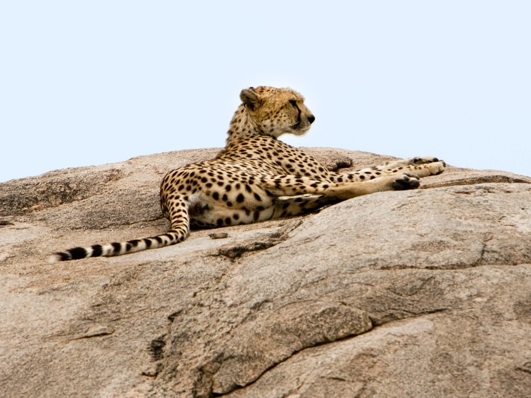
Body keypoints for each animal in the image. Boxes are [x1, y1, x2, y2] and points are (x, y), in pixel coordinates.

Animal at [51, 86, 444, 262]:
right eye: (293, 102)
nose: (312, 117)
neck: (247, 131)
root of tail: (168, 190)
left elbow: (376, 164)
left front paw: (426, 158)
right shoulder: (320, 173)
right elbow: (367, 172)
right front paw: (425, 165)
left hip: (266, 207)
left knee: (324, 195)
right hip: (277, 183)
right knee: (339, 188)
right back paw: (403, 182)